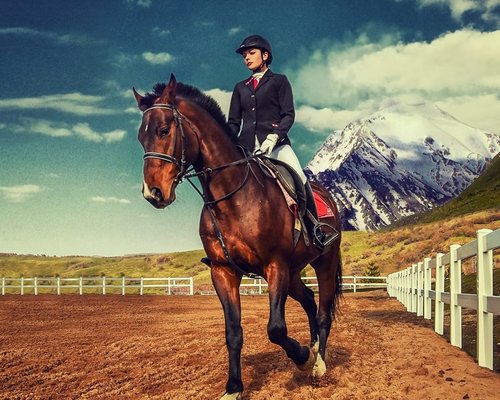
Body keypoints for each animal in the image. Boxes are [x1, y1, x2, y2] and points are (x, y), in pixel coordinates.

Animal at [135, 75, 342, 400]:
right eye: (140, 138)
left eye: (164, 130)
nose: (152, 193)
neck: (233, 196)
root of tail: (328, 197)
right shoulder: (224, 271)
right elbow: (233, 332)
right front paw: (233, 387)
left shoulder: (274, 266)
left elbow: (276, 329)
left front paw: (302, 358)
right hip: (294, 272)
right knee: (309, 300)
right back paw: (314, 348)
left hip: (324, 262)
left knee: (322, 312)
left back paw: (318, 362)